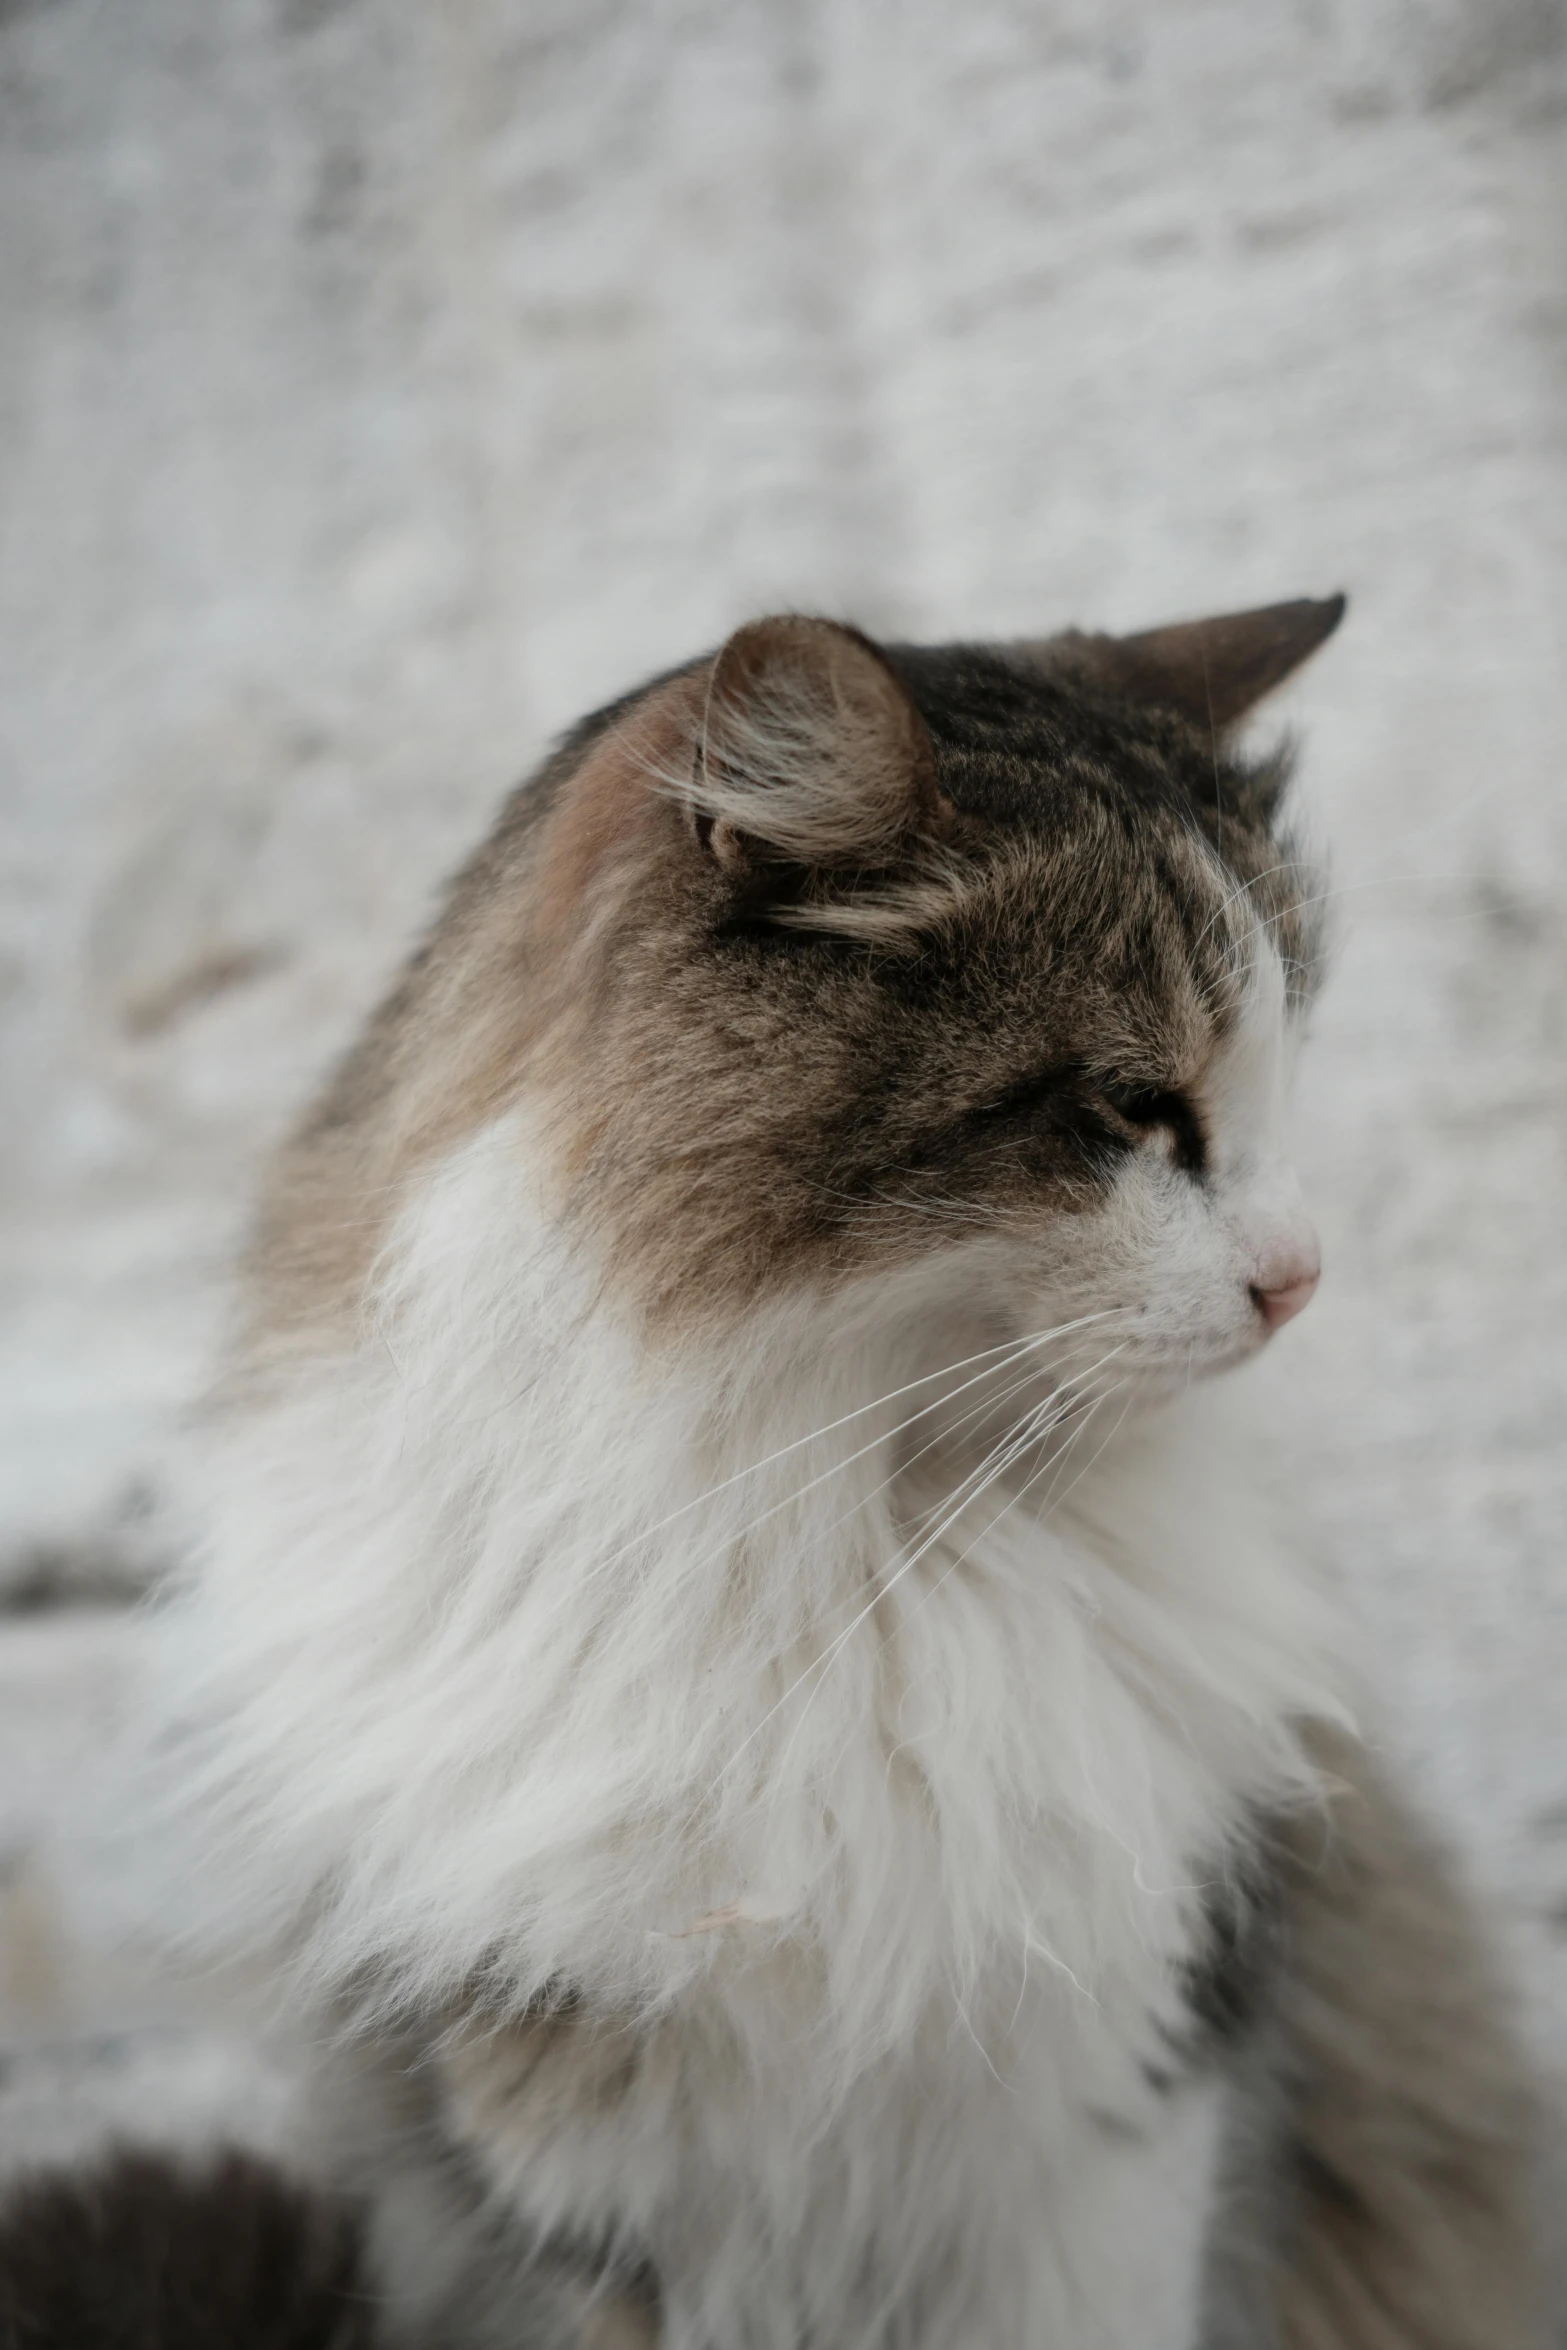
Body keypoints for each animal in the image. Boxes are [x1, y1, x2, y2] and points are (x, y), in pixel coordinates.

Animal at [131, 596, 1531, 2340]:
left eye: (1282, 1077)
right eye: (1131, 1107)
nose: (1300, 1277)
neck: (846, 1550)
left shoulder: (1116, 2118)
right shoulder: (583, 2170)